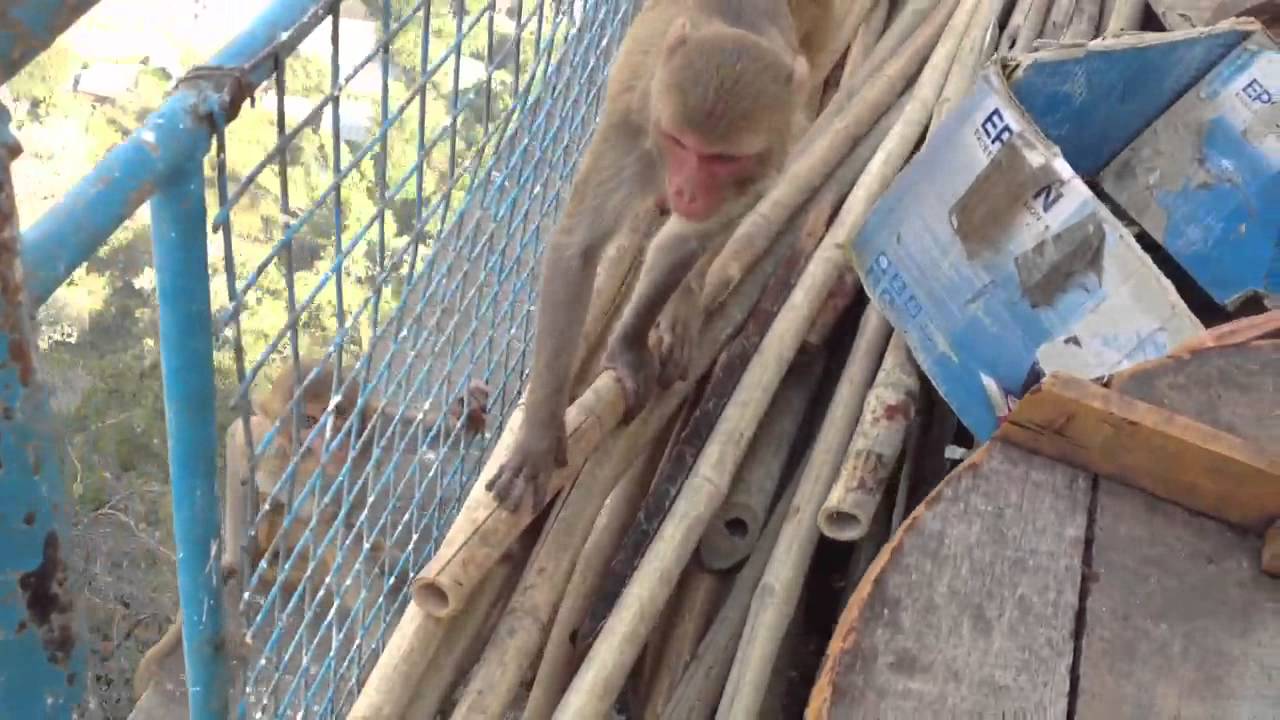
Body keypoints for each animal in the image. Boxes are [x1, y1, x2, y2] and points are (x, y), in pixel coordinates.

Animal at [486, 0, 811, 510]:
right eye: (680, 142)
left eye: (724, 158)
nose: (686, 191)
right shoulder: (633, 128)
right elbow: (577, 248)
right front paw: (538, 436)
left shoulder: (769, 159)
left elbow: (680, 244)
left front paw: (631, 341)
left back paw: (687, 297)